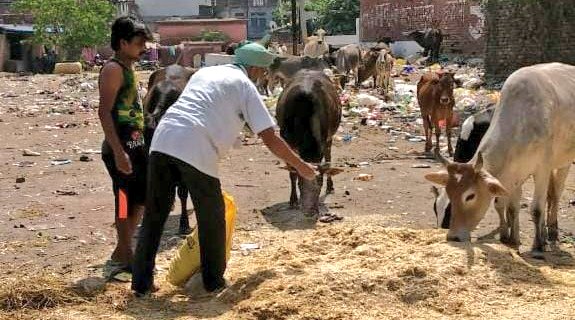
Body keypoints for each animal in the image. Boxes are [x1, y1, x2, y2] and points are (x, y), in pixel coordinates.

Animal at [274, 70, 342, 218]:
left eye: (319, 184)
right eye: (301, 184)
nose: (310, 211)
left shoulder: (324, 141)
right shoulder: (287, 142)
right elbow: (292, 173)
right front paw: (293, 200)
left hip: (330, 138)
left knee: (329, 159)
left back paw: (330, 186)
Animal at [426, 62, 575, 258]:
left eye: (470, 196)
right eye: (446, 199)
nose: (453, 237)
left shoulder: (541, 169)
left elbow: (536, 209)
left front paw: (536, 247)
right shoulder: (514, 174)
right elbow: (509, 207)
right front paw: (511, 239)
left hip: (563, 161)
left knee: (555, 195)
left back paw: (552, 233)